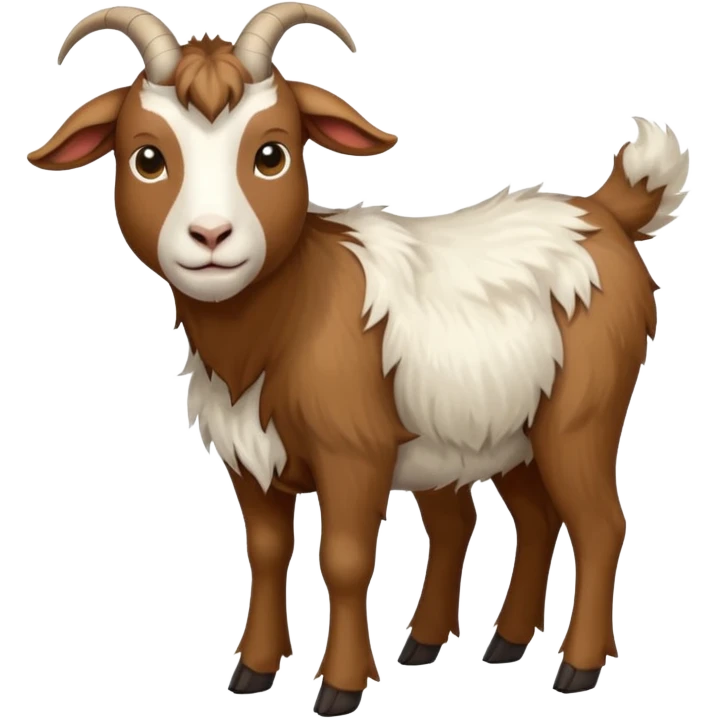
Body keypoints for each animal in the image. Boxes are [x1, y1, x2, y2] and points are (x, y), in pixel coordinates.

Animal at [26, 2, 690, 714]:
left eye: (271, 154)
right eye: (147, 158)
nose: (210, 236)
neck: (284, 318)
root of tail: (602, 213)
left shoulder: (354, 453)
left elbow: (344, 560)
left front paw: (339, 687)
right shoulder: (251, 457)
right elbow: (267, 552)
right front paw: (253, 671)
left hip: (580, 416)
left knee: (599, 525)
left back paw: (577, 667)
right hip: (497, 432)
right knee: (523, 520)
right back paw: (480, 643)